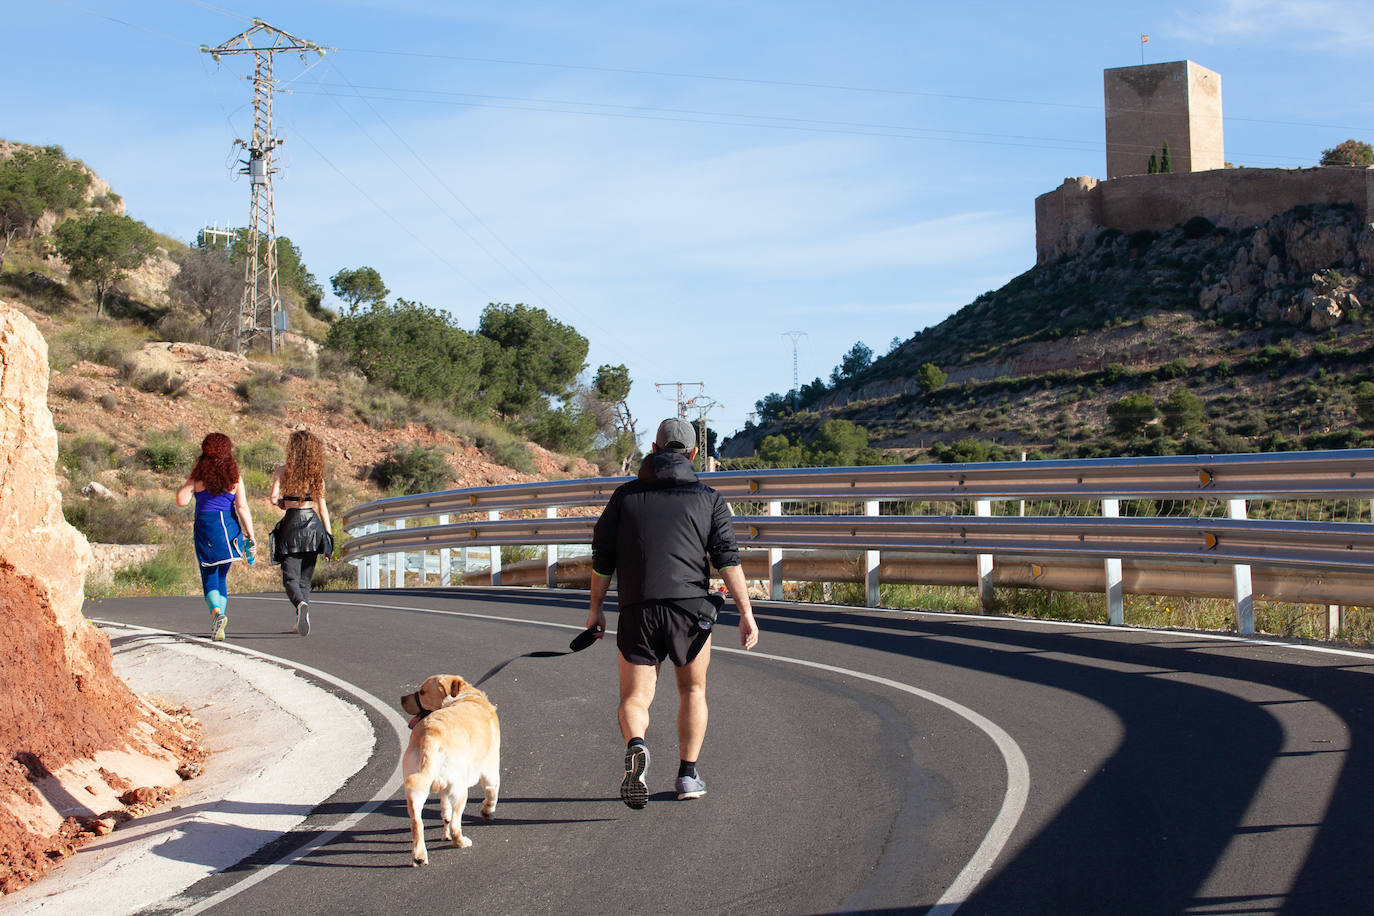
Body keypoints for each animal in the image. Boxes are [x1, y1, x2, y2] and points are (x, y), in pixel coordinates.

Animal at [401, 672, 502, 867]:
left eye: (422, 692)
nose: (401, 698)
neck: (463, 697)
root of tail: (430, 735)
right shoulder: (491, 769)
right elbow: (492, 793)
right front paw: (488, 812)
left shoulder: (443, 789)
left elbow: (445, 812)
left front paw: (444, 834)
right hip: (460, 789)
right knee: (456, 824)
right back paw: (461, 842)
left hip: (418, 789)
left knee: (417, 823)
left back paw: (419, 856)